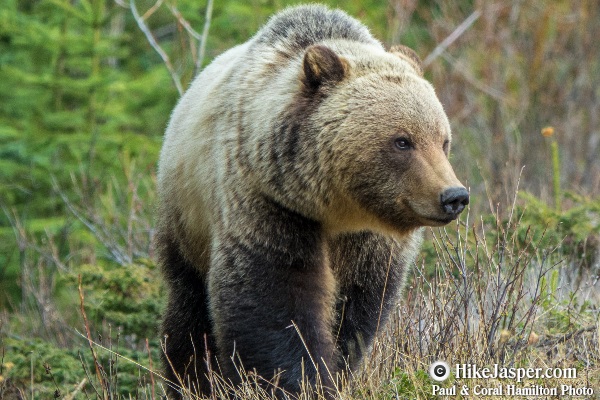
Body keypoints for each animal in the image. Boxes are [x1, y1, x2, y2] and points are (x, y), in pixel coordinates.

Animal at [156, 3, 468, 400]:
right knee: (190, 308)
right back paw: (193, 380)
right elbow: (275, 299)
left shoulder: (369, 242)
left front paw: (334, 369)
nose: (454, 196)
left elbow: (357, 311)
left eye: (443, 140)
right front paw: (298, 380)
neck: (336, 209)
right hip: (187, 217)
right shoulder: (268, 201)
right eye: (402, 141)